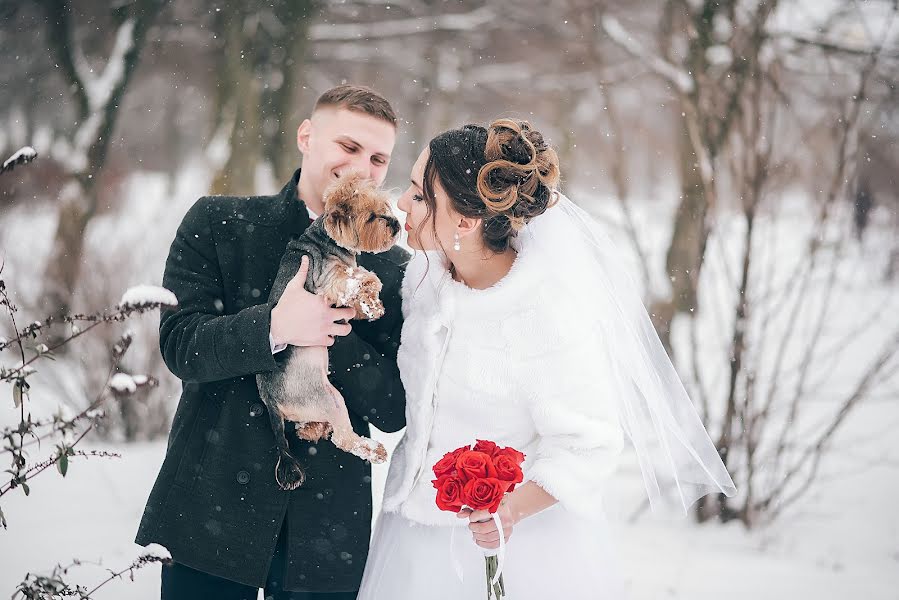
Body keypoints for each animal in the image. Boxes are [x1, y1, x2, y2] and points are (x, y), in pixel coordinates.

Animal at [260, 171, 400, 490]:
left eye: (385, 206)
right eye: (371, 217)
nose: (396, 224)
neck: (327, 239)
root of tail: (271, 402)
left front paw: (371, 307)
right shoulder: (329, 279)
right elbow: (364, 277)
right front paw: (370, 298)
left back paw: (312, 429)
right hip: (327, 399)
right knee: (343, 438)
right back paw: (374, 450)